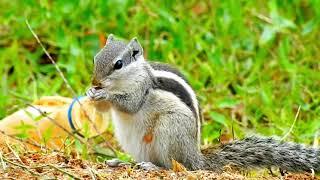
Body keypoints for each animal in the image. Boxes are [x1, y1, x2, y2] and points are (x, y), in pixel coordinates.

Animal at [86, 34, 320, 172]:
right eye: (95, 58)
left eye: (118, 64)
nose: (95, 81)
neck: (123, 81)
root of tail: (195, 157)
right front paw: (91, 93)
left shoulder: (142, 87)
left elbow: (131, 104)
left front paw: (105, 95)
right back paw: (122, 162)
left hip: (169, 130)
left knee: (174, 166)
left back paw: (155, 168)